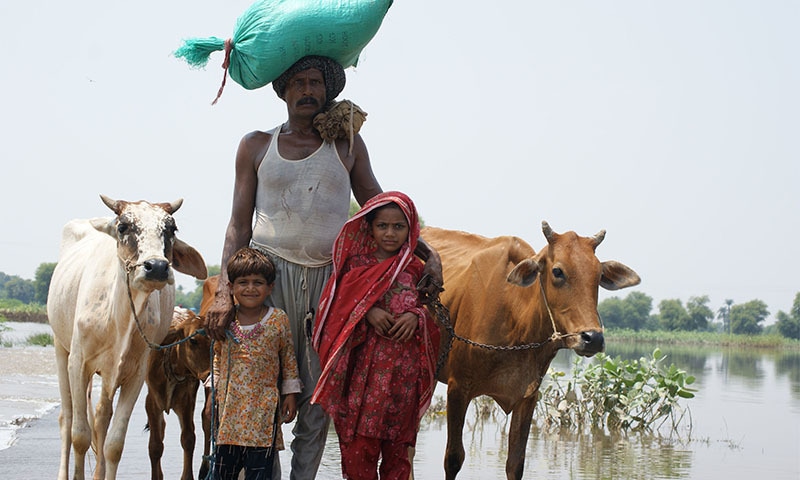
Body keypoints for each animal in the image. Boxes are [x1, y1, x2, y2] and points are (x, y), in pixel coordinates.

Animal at [145, 308, 211, 480]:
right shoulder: (152, 402)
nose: (210, 373)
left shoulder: (187, 402)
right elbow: (155, 446)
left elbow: (188, 439)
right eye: (192, 340)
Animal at [422, 223, 640, 478]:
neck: (515, 318)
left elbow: (516, 463)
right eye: (557, 271)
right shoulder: (458, 388)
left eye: (598, 275)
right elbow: (453, 458)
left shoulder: (528, 396)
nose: (593, 338)